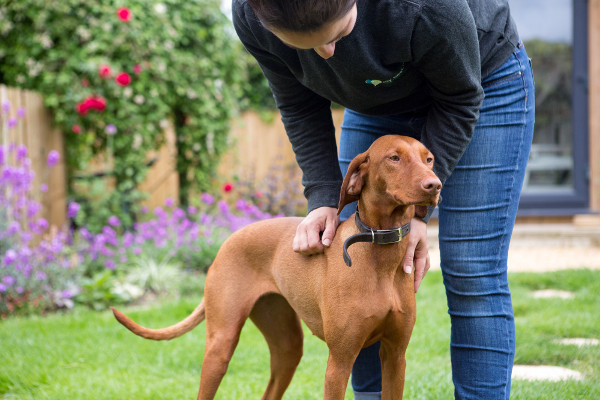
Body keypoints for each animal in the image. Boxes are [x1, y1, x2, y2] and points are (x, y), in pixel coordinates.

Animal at [112, 136, 440, 398]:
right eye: (394, 158)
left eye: (429, 159)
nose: (434, 185)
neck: (379, 250)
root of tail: (230, 238)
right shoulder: (340, 360)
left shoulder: (396, 356)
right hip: (221, 345)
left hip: (287, 348)